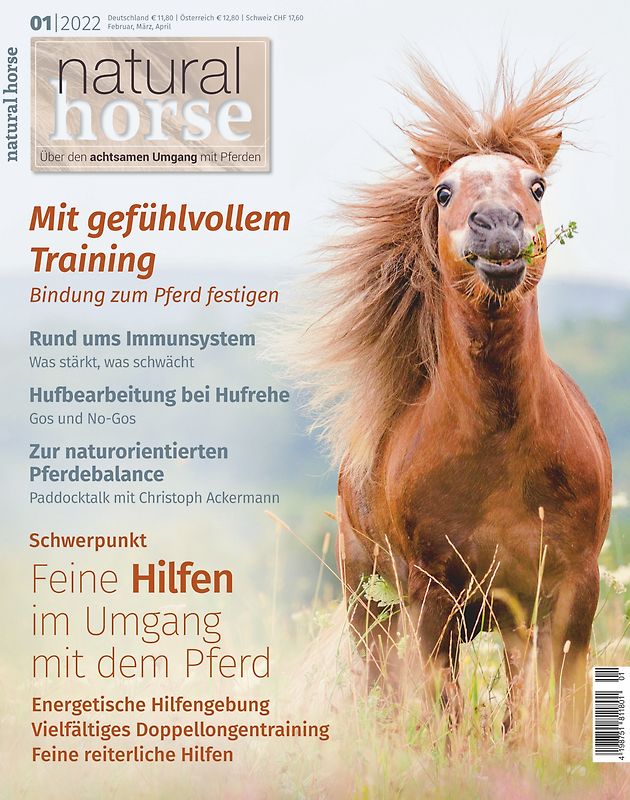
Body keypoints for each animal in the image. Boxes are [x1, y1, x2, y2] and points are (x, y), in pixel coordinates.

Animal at [293, 60, 612, 737]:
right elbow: (446, 712)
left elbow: (547, 711)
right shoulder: (431, 598)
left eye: (536, 186)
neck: (500, 455)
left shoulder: (567, 594)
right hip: (370, 603)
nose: (497, 227)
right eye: (445, 191)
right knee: (383, 684)